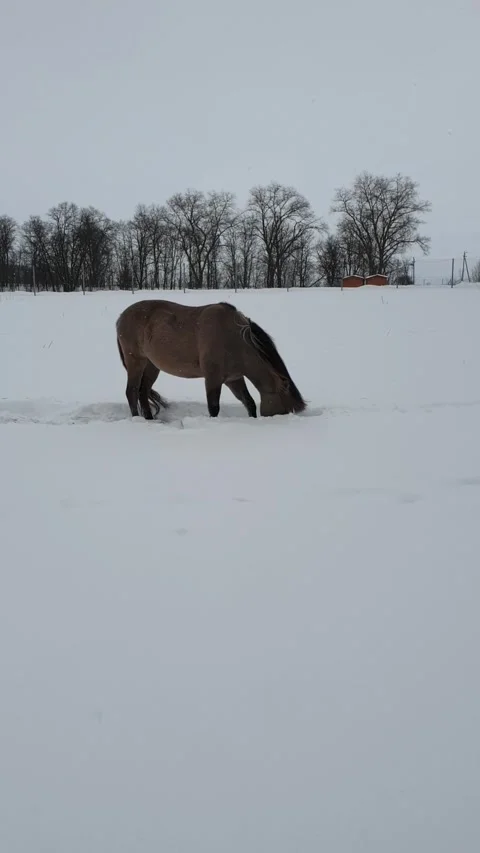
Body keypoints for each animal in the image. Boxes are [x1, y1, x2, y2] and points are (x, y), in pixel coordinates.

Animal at [116, 299, 306, 420]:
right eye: (286, 408)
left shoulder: (233, 379)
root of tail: (120, 318)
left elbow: (249, 402)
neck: (234, 339)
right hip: (136, 361)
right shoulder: (213, 378)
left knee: (143, 391)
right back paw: (137, 420)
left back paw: (149, 418)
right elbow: (214, 407)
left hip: (152, 366)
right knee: (132, 391)